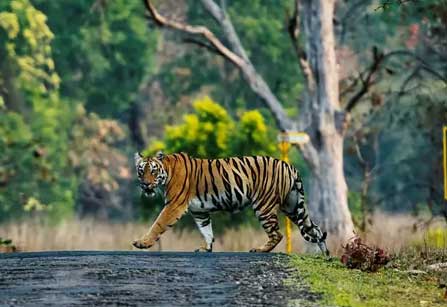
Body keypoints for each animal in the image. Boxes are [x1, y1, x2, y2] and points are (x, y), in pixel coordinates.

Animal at [133, 152, 328, 255]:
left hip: (264, 206)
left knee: (277, 234)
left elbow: (158, 224)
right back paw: (326, 255)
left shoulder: (174, 205)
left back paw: (260, 249)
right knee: (315, 229)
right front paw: (206, 248)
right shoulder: (199, 211)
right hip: (293, 206)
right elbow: (206, 230)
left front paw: (142, 243)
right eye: (141, 171)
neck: (167, 171)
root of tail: (289, 166)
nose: (146, 184)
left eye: (153, 171)